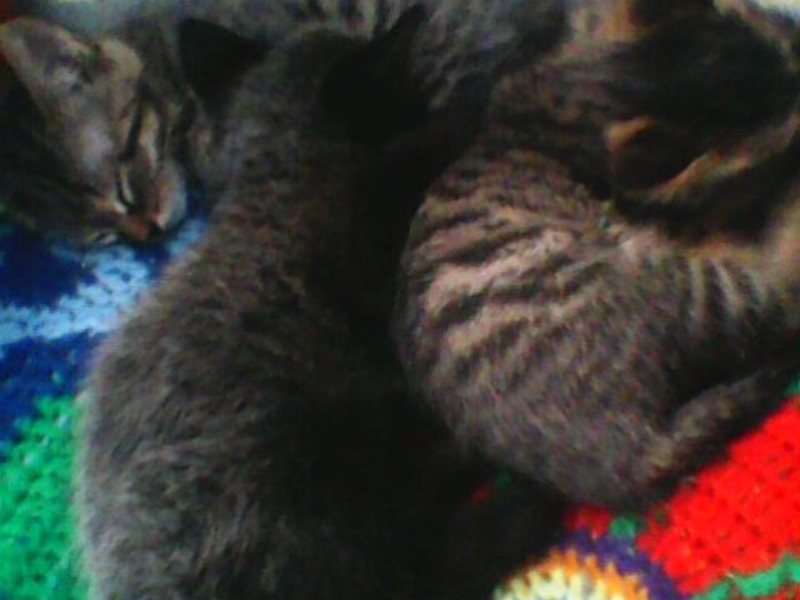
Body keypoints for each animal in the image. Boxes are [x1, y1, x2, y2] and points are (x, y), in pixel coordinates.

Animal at [78, 6, 566, 600]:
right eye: (408, 93)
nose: (428, 98)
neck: (275, 182)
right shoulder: (383, 207)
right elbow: (426, 150)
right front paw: (478, 104)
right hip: (329, 471)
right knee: (427, 560)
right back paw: (505, 484)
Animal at [393, 0, 800, 513]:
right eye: (790, 131)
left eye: (784, 48)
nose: (793, 39)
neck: (570, 95)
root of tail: (623, 459)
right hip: (668, 280)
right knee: (775, 295)